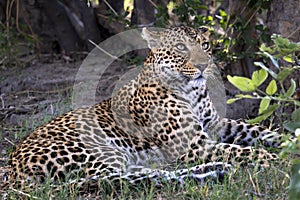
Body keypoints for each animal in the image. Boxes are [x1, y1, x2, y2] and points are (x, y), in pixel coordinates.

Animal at [4, 26, 282, 191]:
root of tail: (12, 167)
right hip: (96, 151)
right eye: (181, 48)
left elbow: (254, 130)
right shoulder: (193, 145)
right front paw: (272, 159)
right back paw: (209, 173)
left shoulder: (216, 124)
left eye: (205, 45)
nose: (204, 65)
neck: (191, 91)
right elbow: (239, 150)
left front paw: (285, 141)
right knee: (112, 179)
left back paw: (210, 171)